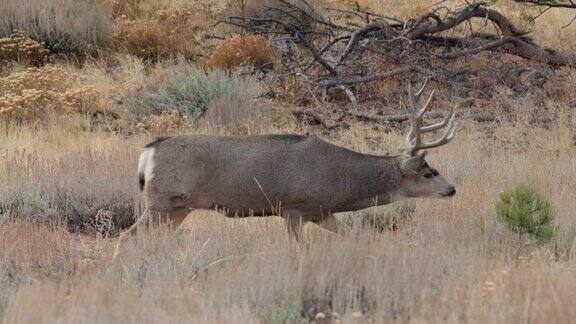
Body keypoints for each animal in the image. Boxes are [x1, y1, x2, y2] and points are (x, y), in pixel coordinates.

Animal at [111, 81, 454, 260]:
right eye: (428, 173)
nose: (452, 189)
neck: (341, 179)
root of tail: (149, 150)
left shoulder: (321, 212)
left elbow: (353, 234)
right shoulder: (293, 207)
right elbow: (299, 249)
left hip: (178, 208)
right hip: (161, 202)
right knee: (125, 236)